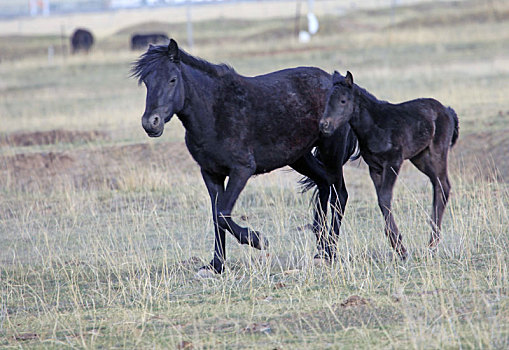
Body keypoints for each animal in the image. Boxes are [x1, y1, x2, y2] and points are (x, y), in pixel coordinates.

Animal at [131, 40, 358, 276]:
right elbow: (216, 216)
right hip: (300, 158)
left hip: (331, 153)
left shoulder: (241, 170)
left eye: (172, 79)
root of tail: (336, 82)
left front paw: (257, 240)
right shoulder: (211, 174)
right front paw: (216, 266)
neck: (215, 110)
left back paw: (330, 252)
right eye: (147, 82)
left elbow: (223, 213)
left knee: (339, 194)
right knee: (324, 185)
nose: (151, 123)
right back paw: (320, 251)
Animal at [320, 70, 458, 258]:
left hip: (437, 153)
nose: (324, 125)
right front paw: (397, 244)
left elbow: (385, 197)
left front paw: (400, 247)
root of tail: (447, 111)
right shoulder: (375, 168)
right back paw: (432, 243)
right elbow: (381, 199)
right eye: (327, 100)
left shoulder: (393, 162)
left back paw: (432, 243)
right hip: (420, 158)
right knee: (439, 184)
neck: (375, 126)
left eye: (343, 100)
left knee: (443, 185)